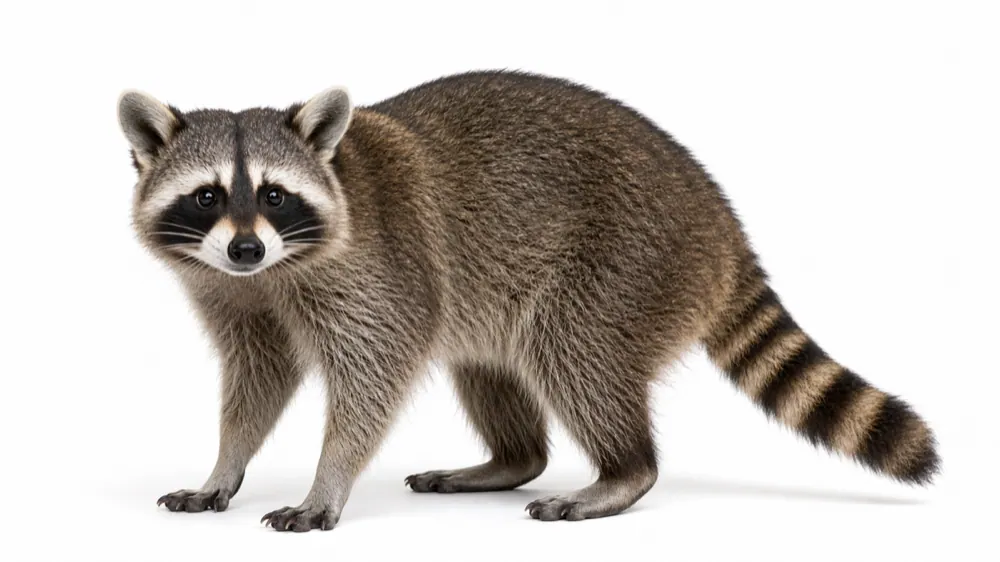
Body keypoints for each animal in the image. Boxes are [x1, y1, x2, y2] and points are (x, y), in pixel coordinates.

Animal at [118, 71, 938, 532]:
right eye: (208, 196)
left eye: (275, 196)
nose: (245, 250)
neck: (274, 270)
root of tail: (721, 223)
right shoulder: (231, 291)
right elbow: (258, 378)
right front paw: (224, 464)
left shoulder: (380, 267)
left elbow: (375, 373)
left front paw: (329, 479)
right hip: (503, 288)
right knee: (490, 362)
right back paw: (511, 458)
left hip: (626, 261)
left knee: (575, 350)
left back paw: (623, 471)